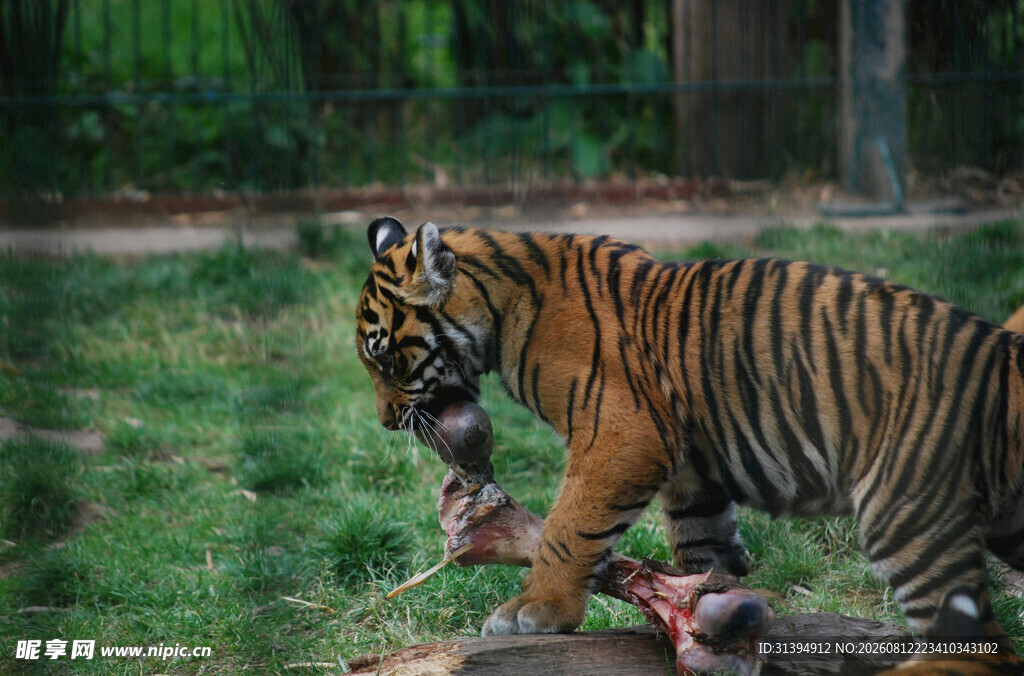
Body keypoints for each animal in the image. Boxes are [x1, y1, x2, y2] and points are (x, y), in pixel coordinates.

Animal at [355, 216, 1024, 660]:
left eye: (384, 357)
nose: (385, 421)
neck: (501, 307)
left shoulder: (621, 435)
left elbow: (570, 527)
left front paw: (536, 610)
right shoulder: (689, 468)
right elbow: (703, 545)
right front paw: (706, 613)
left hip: (909, 521)